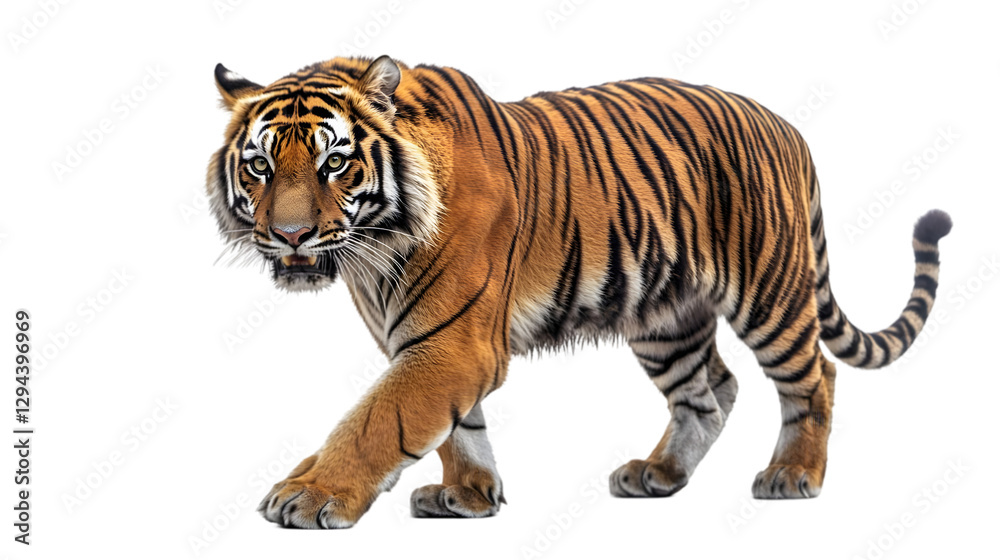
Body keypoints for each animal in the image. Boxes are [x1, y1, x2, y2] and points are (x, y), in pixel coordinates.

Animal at [206, 55, 951, 528]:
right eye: (260, 165)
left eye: (335, 162)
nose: (292, 236)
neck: (375, 249)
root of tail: (788, 127)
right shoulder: (426, 343)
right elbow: (454, 426)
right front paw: (469, 496)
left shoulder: (453, 343)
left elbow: (377, 421)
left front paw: (310, 495)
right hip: (665, 316)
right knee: (711, 390)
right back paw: (660, 475)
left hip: (769, 290)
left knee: (815, 375)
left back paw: (794, 476)